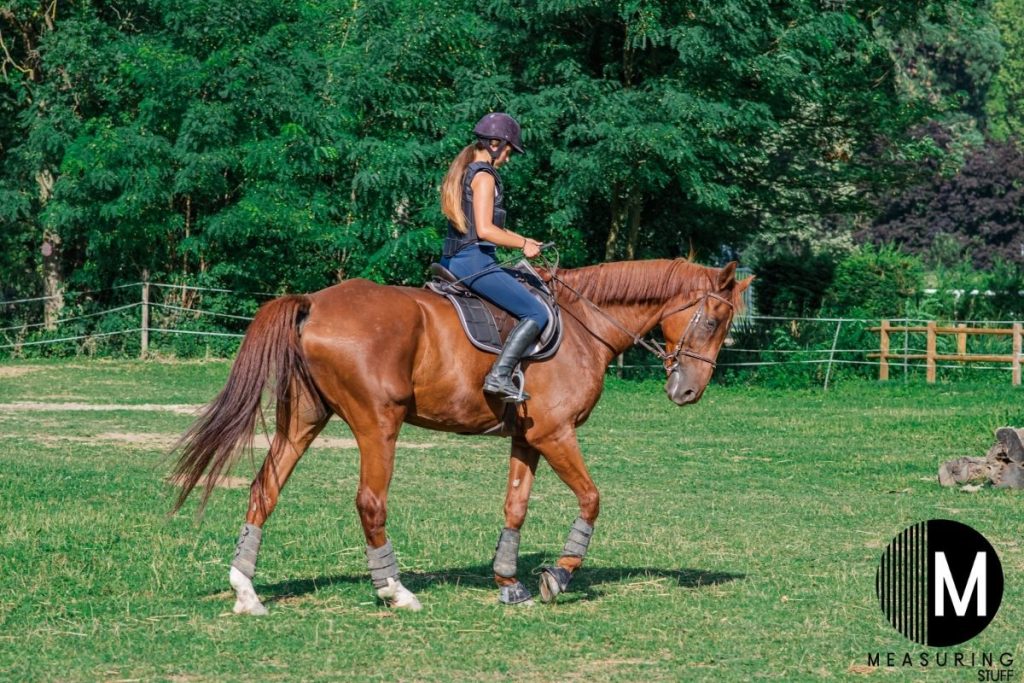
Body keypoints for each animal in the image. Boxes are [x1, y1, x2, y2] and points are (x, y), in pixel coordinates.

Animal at [170, 258, 751, 613]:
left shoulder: (528, 440)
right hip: (378, 424)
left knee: (264, 488)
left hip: (304, 420)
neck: (584, 325)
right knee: (370, 503)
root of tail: (314, 302)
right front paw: (558, 577)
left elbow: (515, 507)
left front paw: (509, 583)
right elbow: (591, 498)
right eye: (713, 320)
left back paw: (247, 591)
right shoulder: (556, 434)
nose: (687, 391)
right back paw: (395, 590)